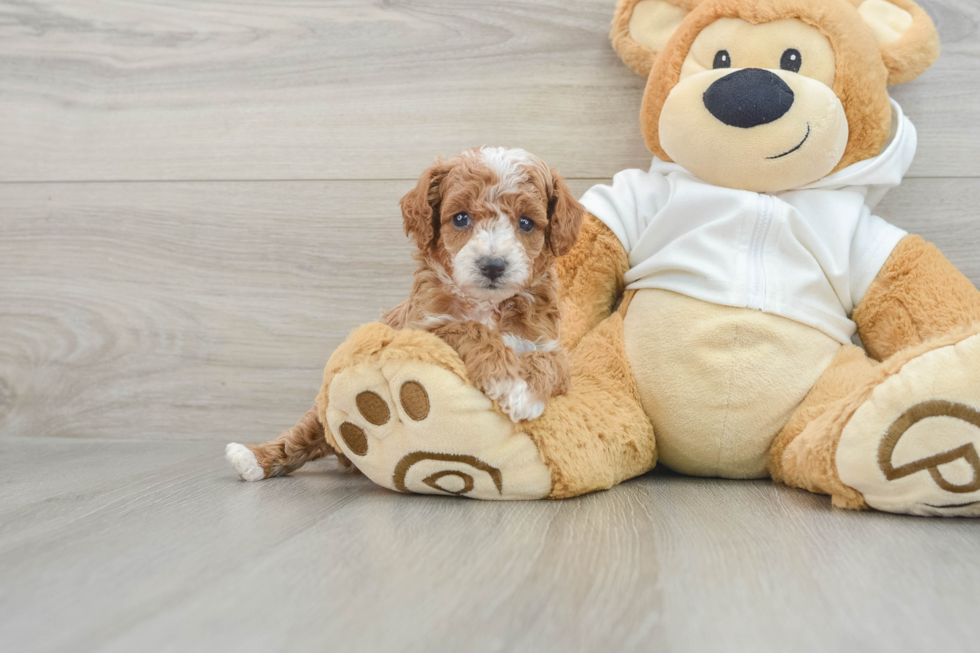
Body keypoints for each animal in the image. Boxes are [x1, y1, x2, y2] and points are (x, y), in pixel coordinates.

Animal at [380, 146, 580, 422]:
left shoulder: (549, 344)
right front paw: (507, 380)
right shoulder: (419, 330)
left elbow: (547, 360)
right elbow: (468, 328)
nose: (493, 265)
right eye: (460, 218)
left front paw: (525, 393)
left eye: (526, 222)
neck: (488, 305)